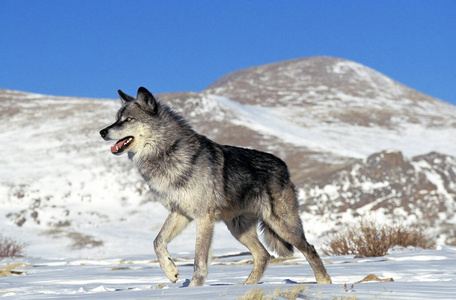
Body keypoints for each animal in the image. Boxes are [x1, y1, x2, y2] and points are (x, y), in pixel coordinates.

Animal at [100, 86, 332, 286]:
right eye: (116, 119)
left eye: (128, 119)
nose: (102, 132)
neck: (168, 152)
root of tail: (284, 165)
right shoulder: (180, 212)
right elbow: (157, 242)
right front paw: (171, 272)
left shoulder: (204, 218)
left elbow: (199, 259)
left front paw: (194, 288)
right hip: (238, 229)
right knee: (263, 255)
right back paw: (245, 286)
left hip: (281, 225)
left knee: (309, 248)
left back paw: (324, 283)